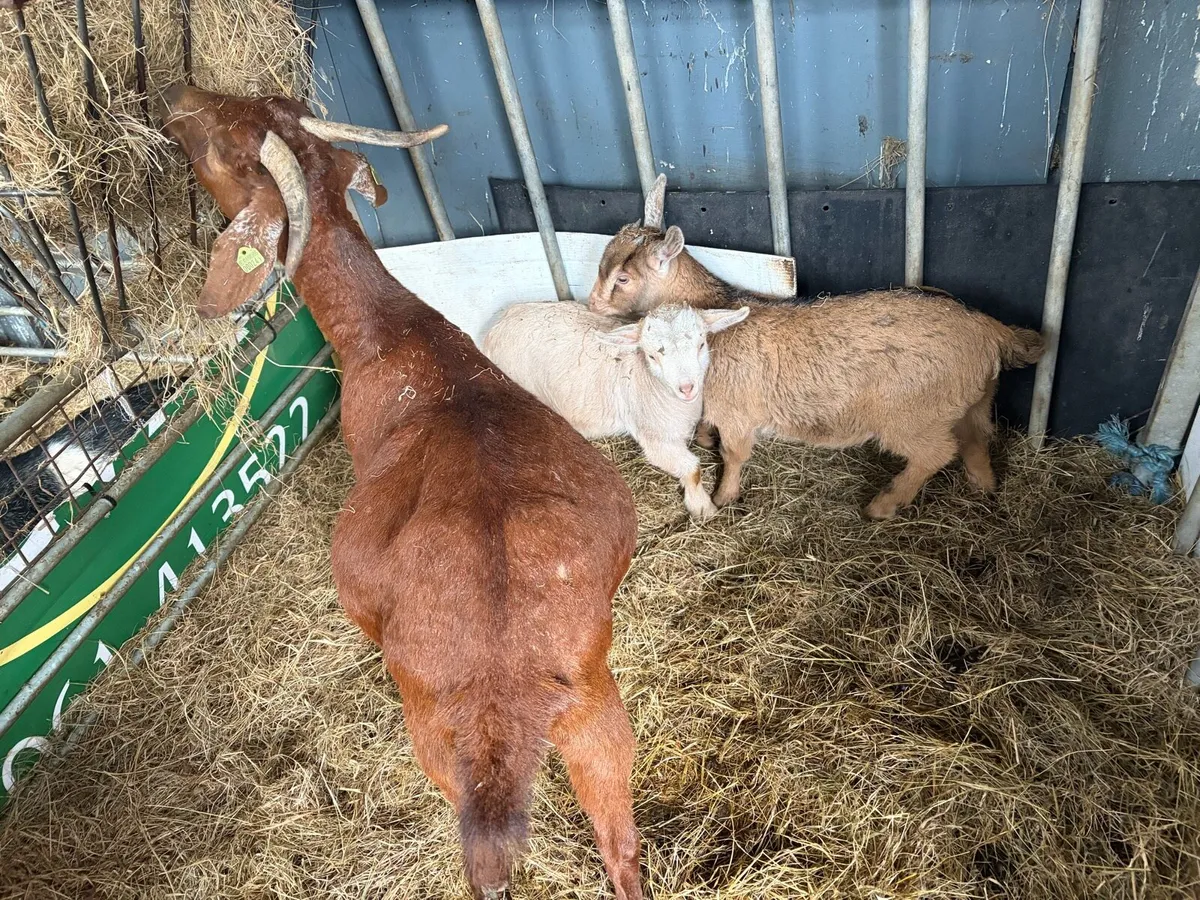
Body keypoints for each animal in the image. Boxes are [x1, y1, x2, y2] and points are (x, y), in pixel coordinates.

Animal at [162, 86, 643, 900]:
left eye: (226, 146)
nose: (176, 98)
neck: (392, 331)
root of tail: (509, 675)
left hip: (440, 736)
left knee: (488, 864)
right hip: (594, 708)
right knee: (621, 845)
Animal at [483, 301, 748, 521]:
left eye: (701, 345)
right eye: (651, 356)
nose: (686, 388)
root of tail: (496, 326)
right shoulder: (654, 437)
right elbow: (692, 469)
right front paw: (703, 508)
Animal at [587, 178, 1044, 519]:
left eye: (623, 278)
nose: (593, 304)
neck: (718, 309)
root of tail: (987, 328)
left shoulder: (738, 411)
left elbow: (735, 455)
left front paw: (723, 497)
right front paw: (706, 444)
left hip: (913, 414)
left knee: (937, 453)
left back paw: (884, 504)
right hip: (974, 399)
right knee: (976, 438)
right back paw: (984, 488)